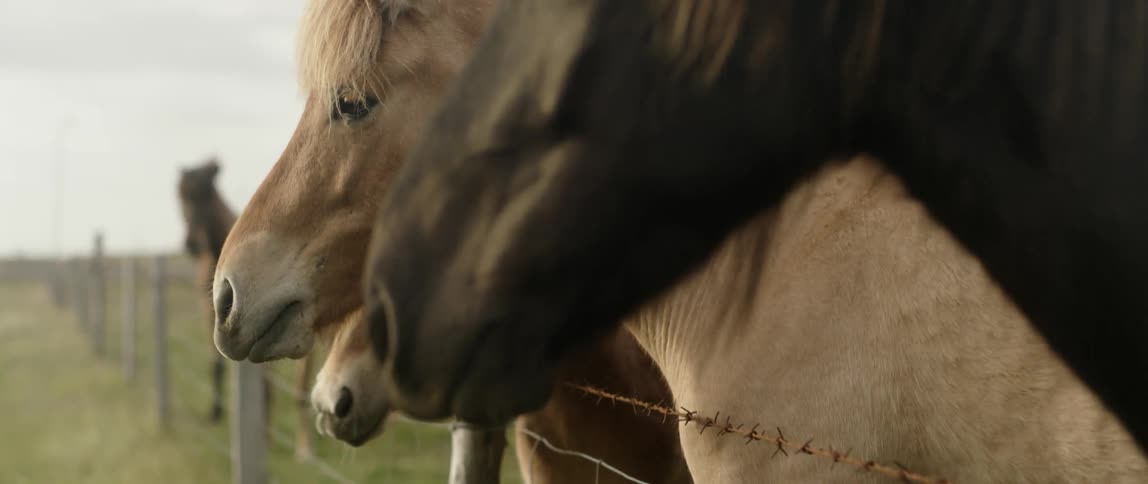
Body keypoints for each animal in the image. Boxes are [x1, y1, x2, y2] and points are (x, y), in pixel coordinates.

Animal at [177, 159, 316, 460]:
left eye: (207, 194)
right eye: (181, 197)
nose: (191, 243)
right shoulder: (215, 317)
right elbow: (217, 365)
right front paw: (216, 412)